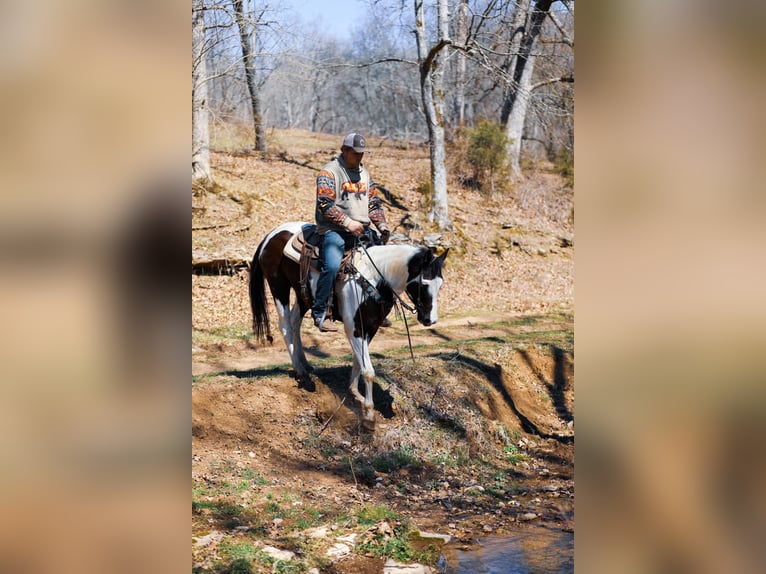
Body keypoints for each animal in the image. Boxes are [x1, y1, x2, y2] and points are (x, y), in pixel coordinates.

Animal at [249, 221, 448, 430]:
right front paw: (369, 414)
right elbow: (368, 370)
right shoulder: (354, 329)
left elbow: (358, 361)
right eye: (424, 284)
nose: (431, 320)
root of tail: (271, 234)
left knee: (295, 321)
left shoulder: (370, 327)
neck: (374, 278)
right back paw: (301, 372)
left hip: (303, 293)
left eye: (440, 284)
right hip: (278, 286)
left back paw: (305, 363)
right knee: (285, 325)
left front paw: (355, 393)